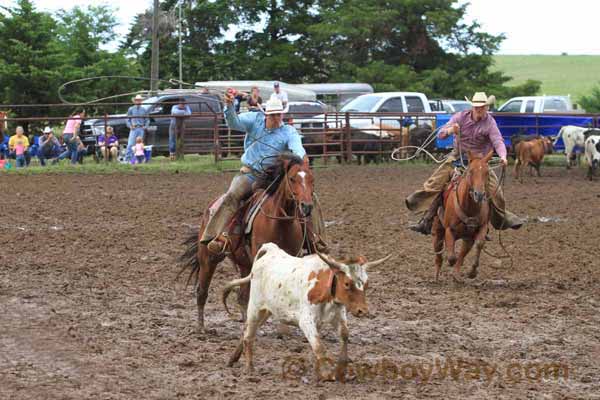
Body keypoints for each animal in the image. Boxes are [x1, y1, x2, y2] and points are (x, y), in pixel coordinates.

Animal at [178, 153, 316, 332]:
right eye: (292, 178)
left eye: (312, 179)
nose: (307, 206)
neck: (280, 223)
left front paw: (283, 330)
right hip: (208, 258)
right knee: (202, 292)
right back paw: (201, 327)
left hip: (245, 265)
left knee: (242, 297)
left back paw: (246, 323)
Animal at [223, 242, 392, 380]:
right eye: (347, 283)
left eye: (366, 284)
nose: (362, 311)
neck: (324, 289)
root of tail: (271, 250)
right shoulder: (306, 321)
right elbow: (319, 346)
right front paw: (327, 374)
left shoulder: (338, 316)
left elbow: (344, 335)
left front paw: (339, 370)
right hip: (255, 307)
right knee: (249, 335)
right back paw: (249, 368)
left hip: (268, 310)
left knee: (247, 330)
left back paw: (233, 358)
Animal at [434, 152, 494, 282]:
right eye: (470, 171)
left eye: (487, 172)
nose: (479, 194)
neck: (469, 208)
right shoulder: (449, 230)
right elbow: (451, 256)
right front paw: (450, 262)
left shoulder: (482, 227)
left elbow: (479, 244)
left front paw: (472, 271)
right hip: (438, 231)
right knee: (438, 251)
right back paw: (436, 275)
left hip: (467, 238)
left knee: (462, 253)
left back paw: (457, 275)